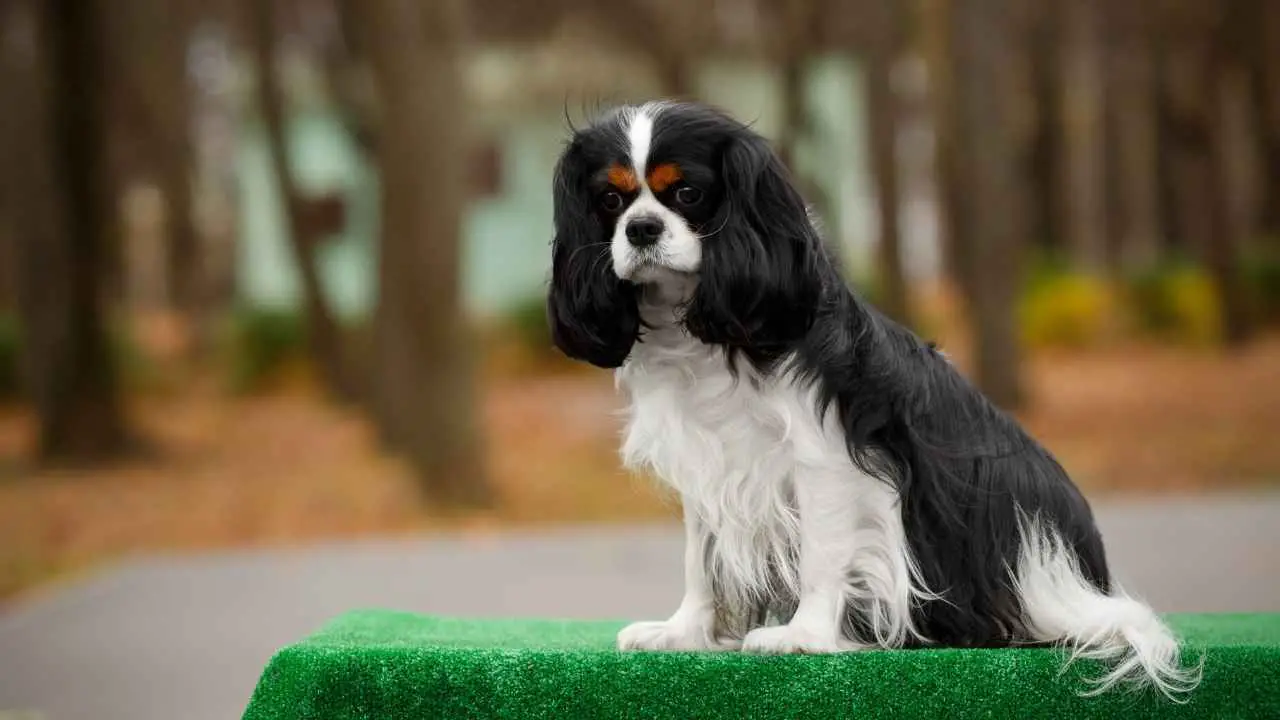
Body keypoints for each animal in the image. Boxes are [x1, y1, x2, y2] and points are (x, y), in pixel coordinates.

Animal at [547, 98, 1198, 696]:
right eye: (610, 202)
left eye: (686, 193)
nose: (641, 229)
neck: (706, 331)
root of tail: (1088, 575)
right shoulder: (709, 467)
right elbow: (700, 561)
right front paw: (684, 632)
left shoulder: (823, 462)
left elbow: (821, 555)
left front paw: (803, 635)